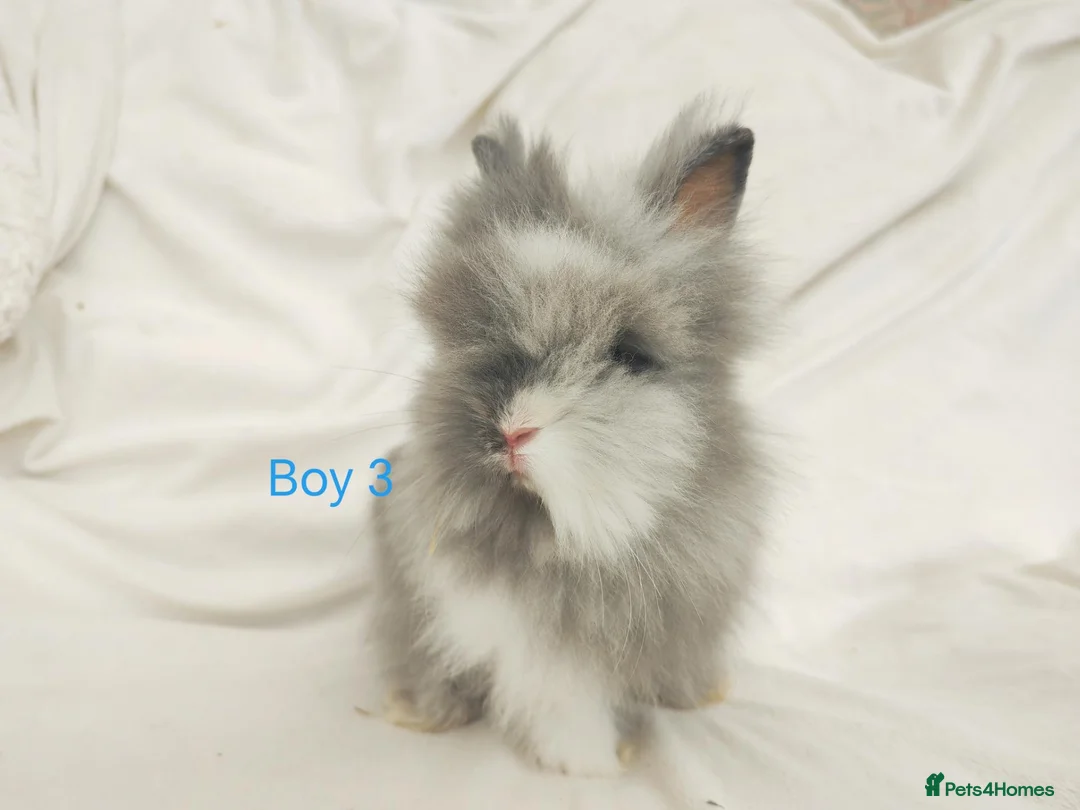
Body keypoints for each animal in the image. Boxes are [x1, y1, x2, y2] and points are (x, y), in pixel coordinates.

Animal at [367, 96, 771, 778]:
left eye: (629, 354)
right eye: (474, 334)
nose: (511, 431)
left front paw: (694, 698)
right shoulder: (539, 649)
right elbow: (566, 704)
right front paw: (595, 763)